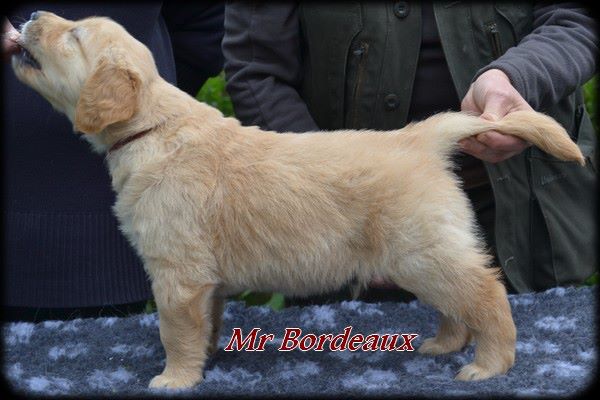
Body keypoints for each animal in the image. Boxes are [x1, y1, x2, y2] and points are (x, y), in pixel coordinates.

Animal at [11, 12, 585, 389]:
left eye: (74, 35)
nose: (33, 15)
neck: (153, 126)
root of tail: (421, 136)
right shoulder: (203, 278)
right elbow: (205, 320)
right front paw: (207, 356)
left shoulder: (176, 270)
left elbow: (175, 328)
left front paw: (174, 378)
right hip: (424, 253)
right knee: (459, 301)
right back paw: (445, 342)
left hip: (421, 250)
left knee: (487, 293)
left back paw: (490, 364)